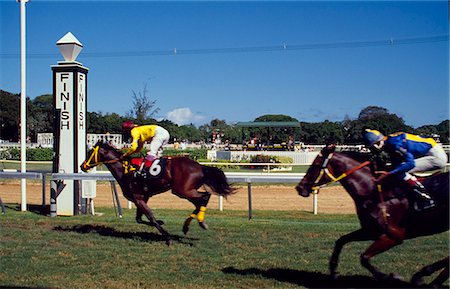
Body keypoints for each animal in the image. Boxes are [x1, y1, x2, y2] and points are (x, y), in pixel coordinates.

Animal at [81, 141, 236, 244]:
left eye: (89, 153)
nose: (83, 166)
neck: (125, 169)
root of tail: (201, 167)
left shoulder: (138, 198)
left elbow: (150, 218)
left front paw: (167, 237)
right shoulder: (142, 198)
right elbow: (140, 219)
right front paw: (162, 223)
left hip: (182, 191)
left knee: (204, 197)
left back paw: (200, 223)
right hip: (185, 190)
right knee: (200, 201)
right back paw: (187, 226)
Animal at [296, 144, 446, 286]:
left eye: (315, 165)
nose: (299, 187)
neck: (371, 190)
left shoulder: (394, 235)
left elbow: (364, 257)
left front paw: (389, 277)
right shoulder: (371, 230)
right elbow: (341, 240)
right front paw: (333, 271)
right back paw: (427, 278)